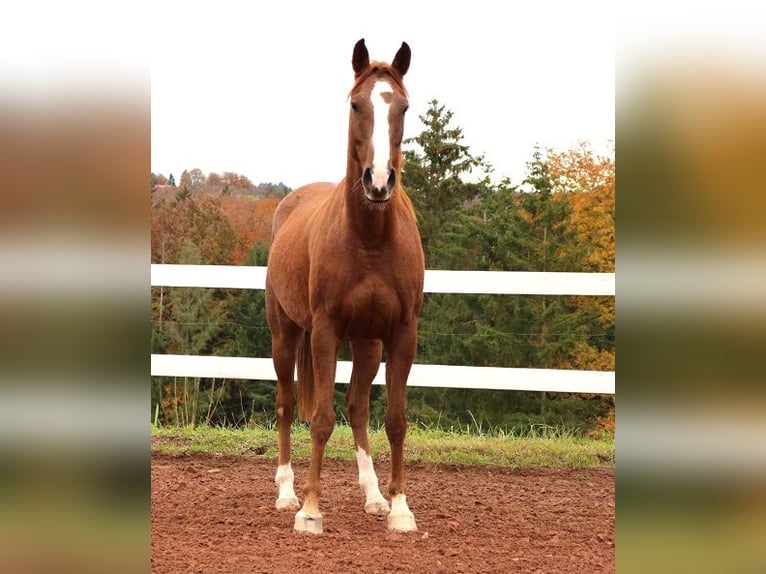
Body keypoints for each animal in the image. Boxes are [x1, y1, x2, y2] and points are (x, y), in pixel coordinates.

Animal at [265, 38, 424, 534]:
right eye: (356, 104)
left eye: (404, 107)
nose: (379, 181)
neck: (369, 239)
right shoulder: (326, 332)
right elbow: (319, 419)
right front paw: (311, 511)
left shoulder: (402, 334)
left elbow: (394, 420)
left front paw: (400, 508)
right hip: (285, 336)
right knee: (287, 403)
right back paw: (287, 493)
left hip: (367, 345)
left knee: (357, 408)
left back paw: (373, 496)